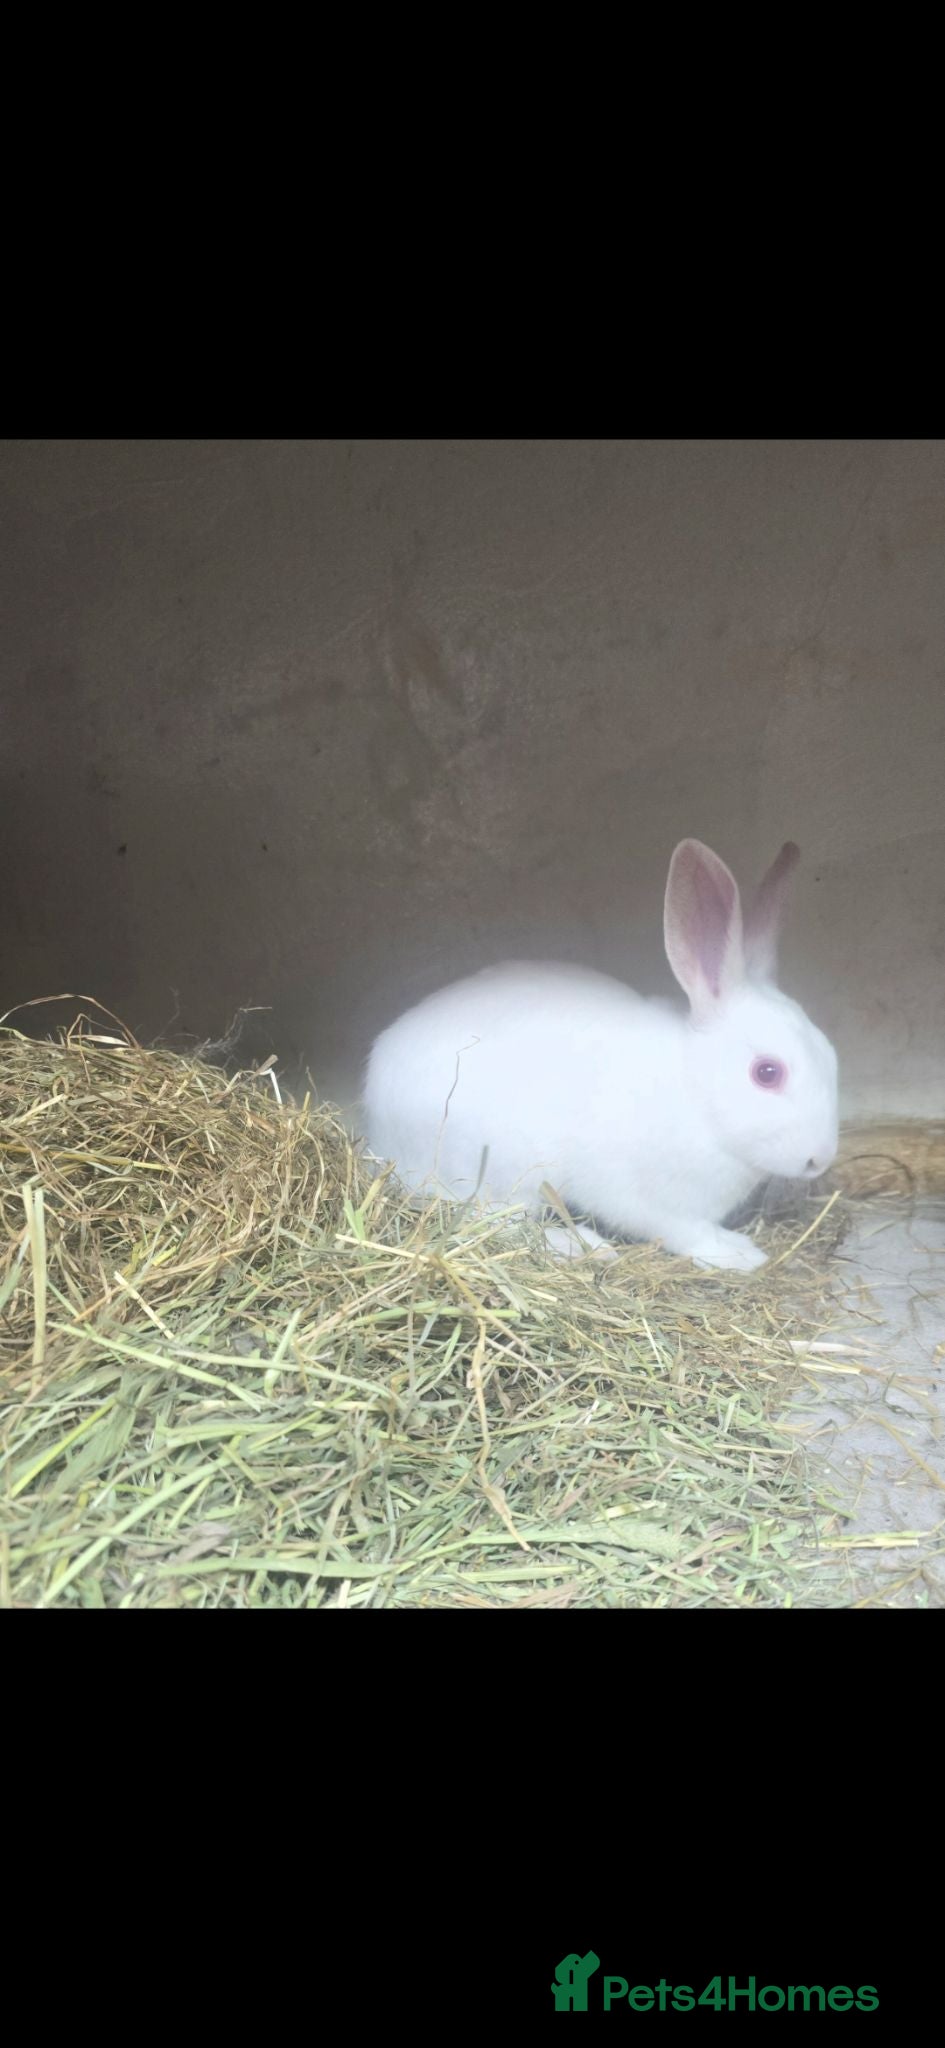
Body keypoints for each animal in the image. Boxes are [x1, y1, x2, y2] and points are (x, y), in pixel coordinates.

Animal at [361, 838, 839, 1272]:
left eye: (832, 1056)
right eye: (767, 1072)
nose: (820, 1159)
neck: (698, 1099)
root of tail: (379, 1132)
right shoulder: (650, 1202)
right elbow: (687, 1233)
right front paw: (740, 1255)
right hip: (497, 1167)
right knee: (496, 1220)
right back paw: (584, 1246)